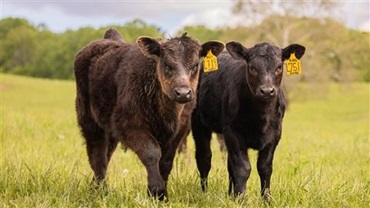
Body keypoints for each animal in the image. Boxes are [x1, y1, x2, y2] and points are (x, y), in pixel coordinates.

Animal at [72, 28, 223, 199]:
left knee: (107, 153)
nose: (183, 93)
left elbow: (166, 161)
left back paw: (95, 187)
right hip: (89, 119)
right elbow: (151, 152)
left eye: (196, 65)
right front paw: (156, 190)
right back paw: (101, 190)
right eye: (167, 64)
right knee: (97, 155)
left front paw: (162, 195)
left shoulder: (179, 130)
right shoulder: (129, 125)